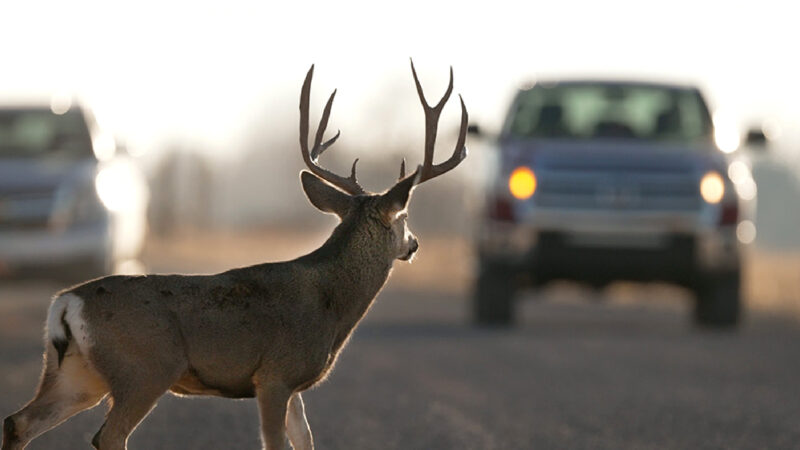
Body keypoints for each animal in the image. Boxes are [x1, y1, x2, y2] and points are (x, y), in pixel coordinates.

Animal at [1, 59, 468, 450]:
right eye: (404, 217)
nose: (414, 244)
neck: (331, 305)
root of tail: (66, 302)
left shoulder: (293, 387)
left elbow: (306, 442)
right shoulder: (276, 373)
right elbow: (275, 444)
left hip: (76, 373)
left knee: (18, 422)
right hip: (144, 369)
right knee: (107, 436)